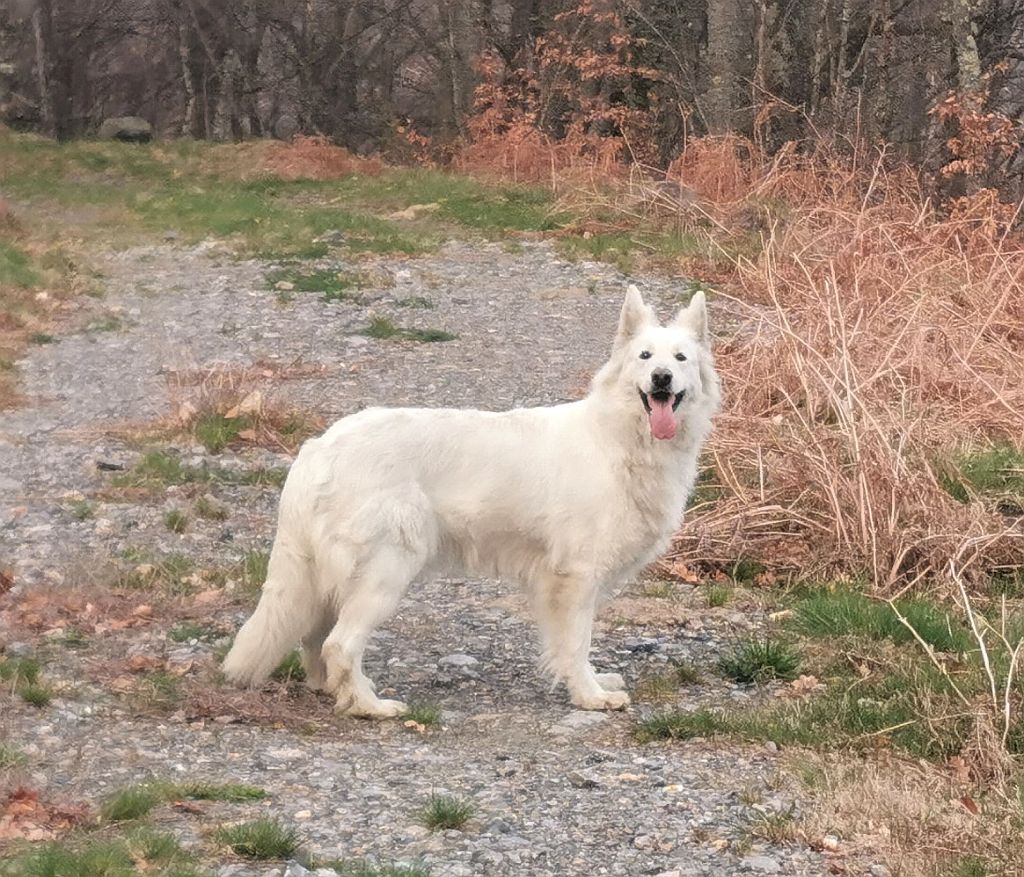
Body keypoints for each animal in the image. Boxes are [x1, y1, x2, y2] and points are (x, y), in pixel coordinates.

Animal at [224, 284, 720, 717]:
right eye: (645, 357)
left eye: (680, 359)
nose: (661, 378)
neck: (621, 437)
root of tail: (318, 448)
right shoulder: (575, 577)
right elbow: (576, 642)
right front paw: (589, 695)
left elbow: (572, 646)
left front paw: (593, 681)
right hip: (386, 573)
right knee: (339, 644)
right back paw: (370, 707)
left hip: (332, 582)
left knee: (314, 640)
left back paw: (334, 692)